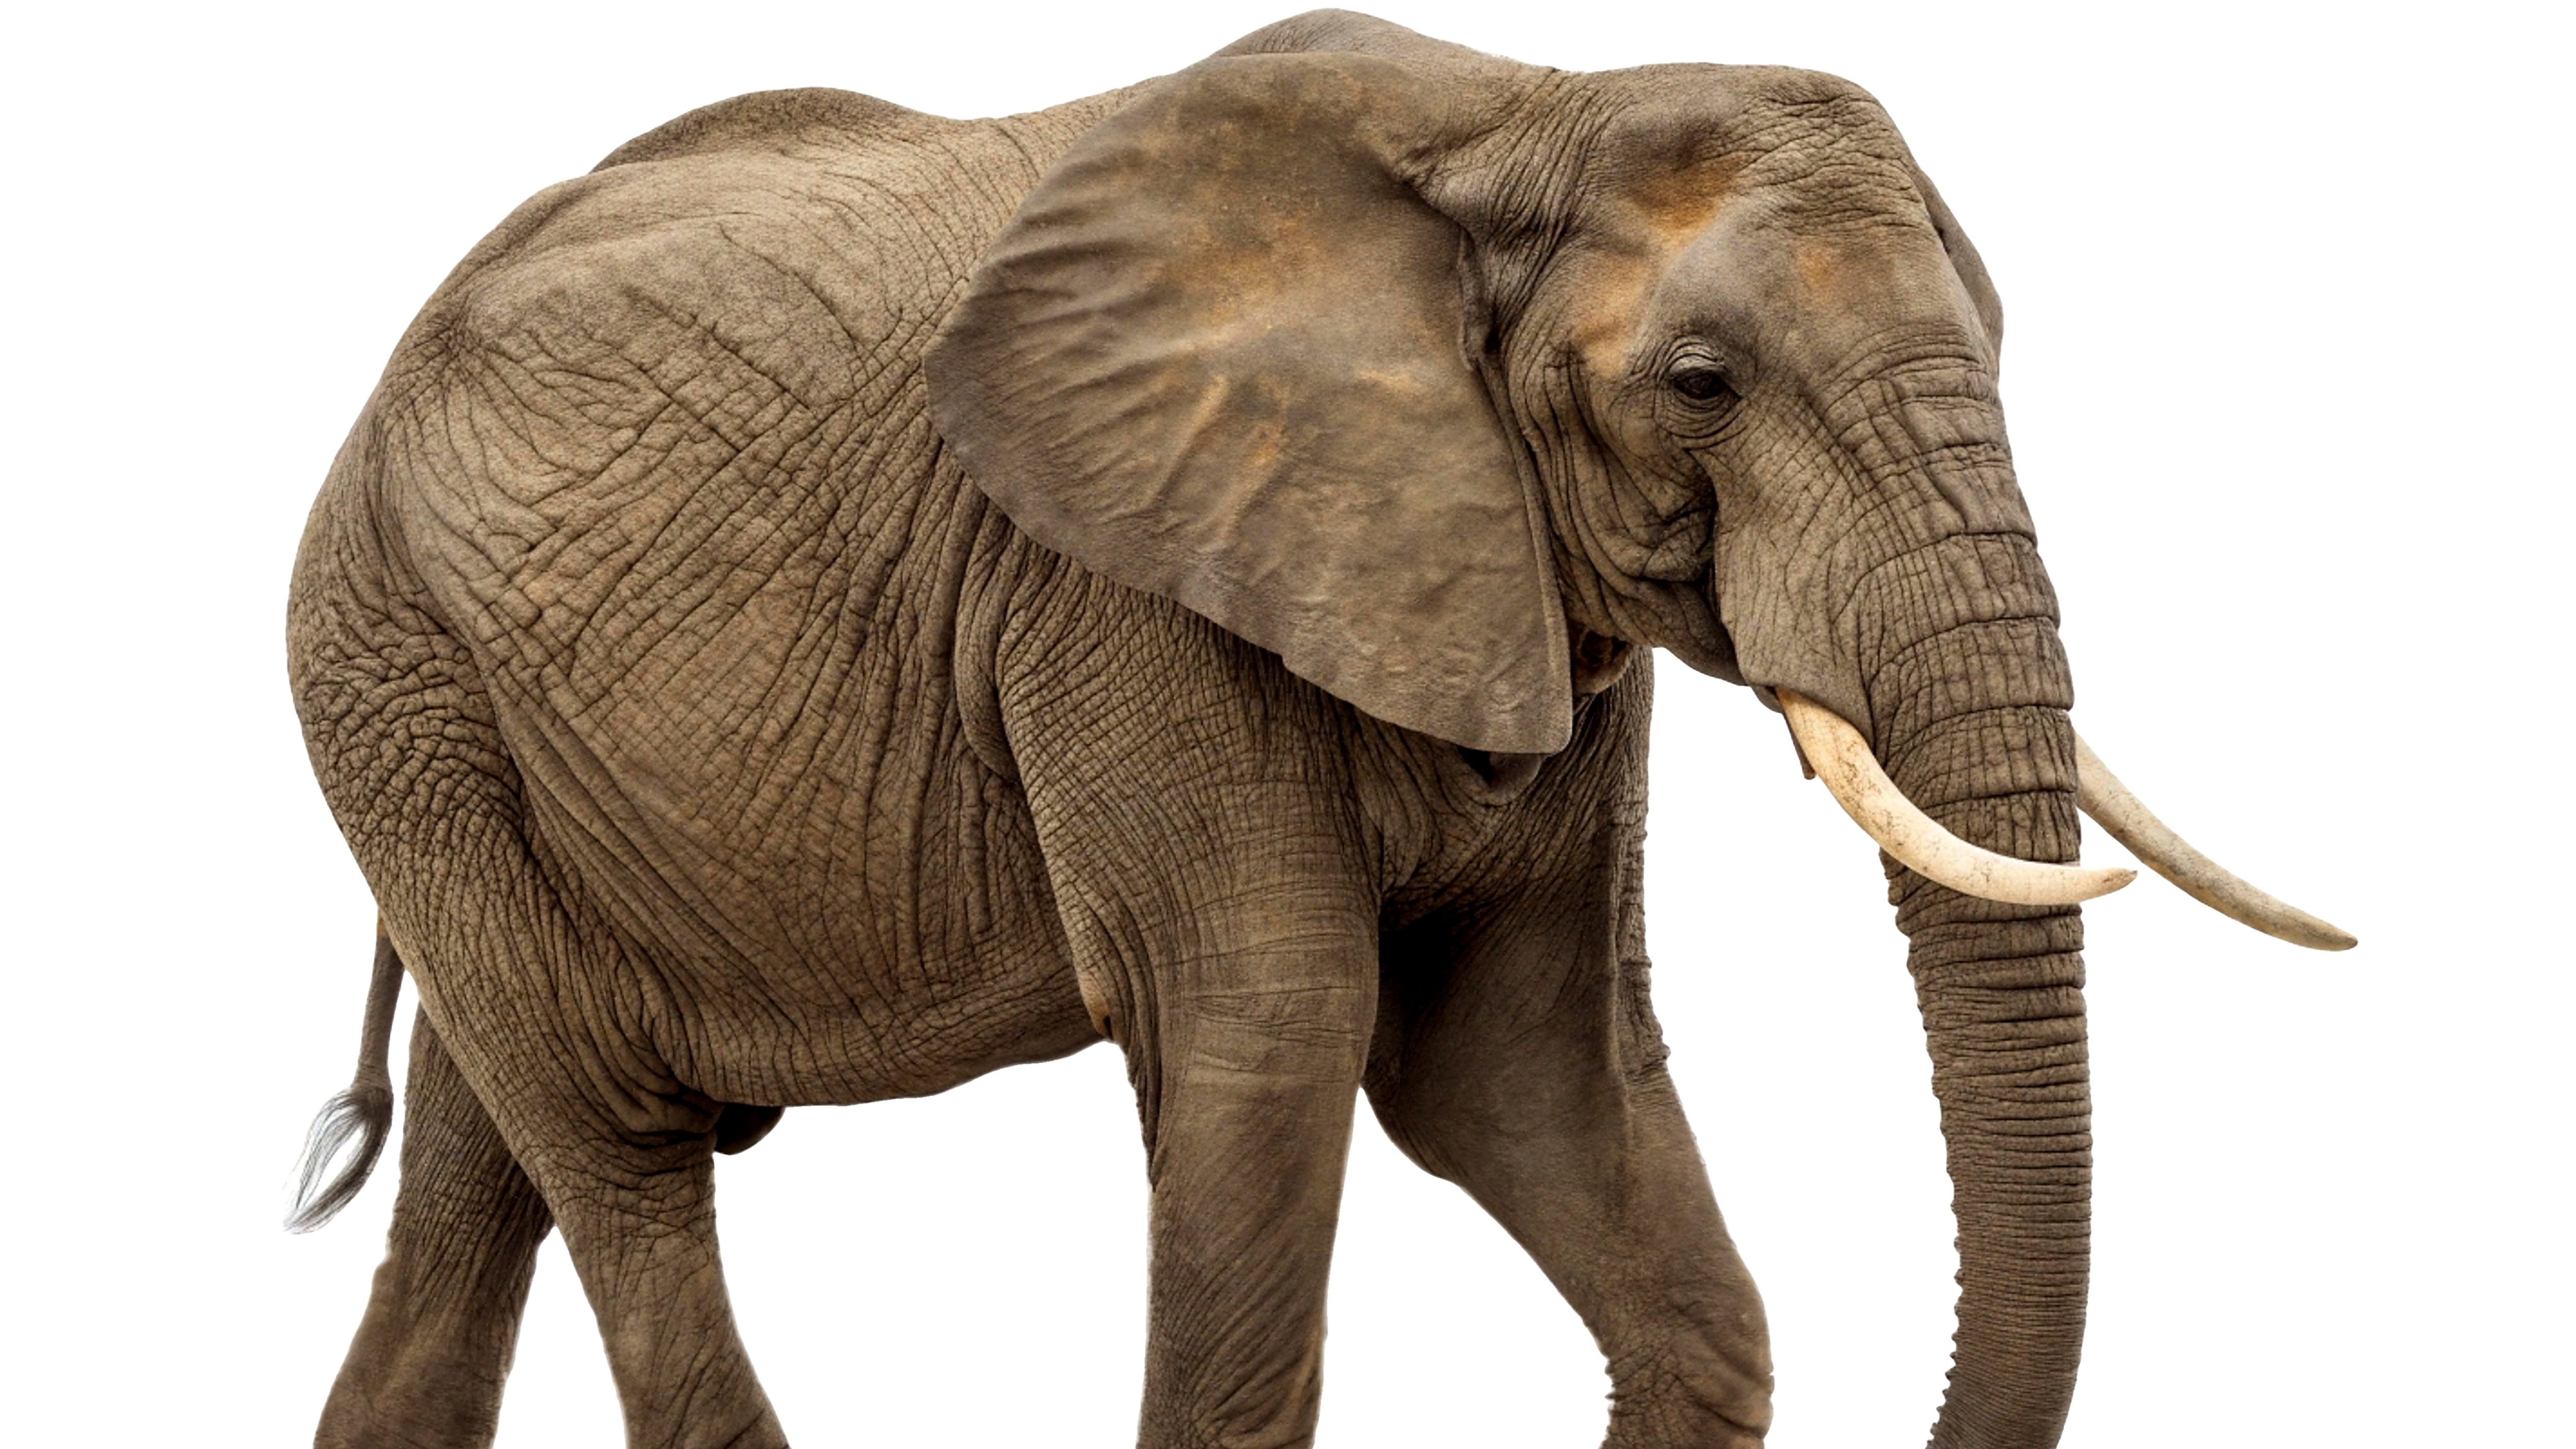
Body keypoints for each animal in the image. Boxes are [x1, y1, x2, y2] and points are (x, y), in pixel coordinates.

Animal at [282, 10, 2351, 1448]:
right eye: (1700, 382)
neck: (1527, 105)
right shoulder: (1114, 589)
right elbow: (1275, 1033)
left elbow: (1519, 1064)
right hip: (391, 676)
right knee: (614, 1138)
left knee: (486, 1153)